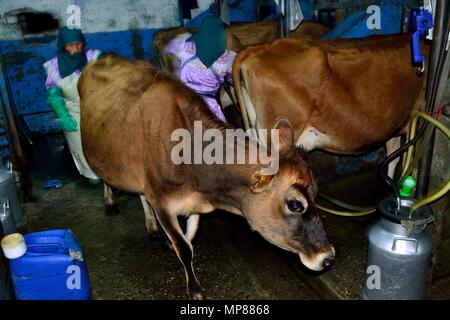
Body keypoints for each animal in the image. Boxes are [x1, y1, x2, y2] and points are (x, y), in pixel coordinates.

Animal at [79, 54, 336, 298]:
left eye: (316, 193)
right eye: (295, 204)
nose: (328, 256)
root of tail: (102, 58)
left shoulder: (193, 202)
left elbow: (189, 237)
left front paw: (172, 245)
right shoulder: (162, 202)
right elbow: (184, 247)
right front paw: (194, 288)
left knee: (141, 193)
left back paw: (151, 228)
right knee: (105, 178)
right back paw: (110, 202)